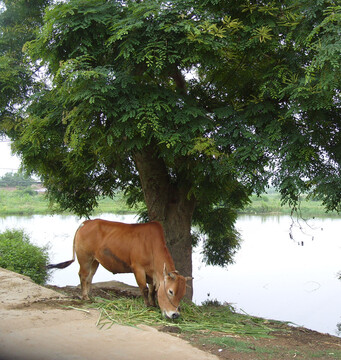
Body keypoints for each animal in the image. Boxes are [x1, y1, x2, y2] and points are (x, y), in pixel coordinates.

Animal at [46, 219, 191, 318]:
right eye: (171, 291)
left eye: (183, 293)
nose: (175, 315)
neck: (151, 246)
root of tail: (87, 222)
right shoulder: (138, 268)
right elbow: (144, 289)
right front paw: (147, 305)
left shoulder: (151, 274)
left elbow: (152, 291)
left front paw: (154, 304)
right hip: (85, 258)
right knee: (83, 275)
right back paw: (85, 297)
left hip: (95, 261)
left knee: (89, 277)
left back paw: (91, 295)